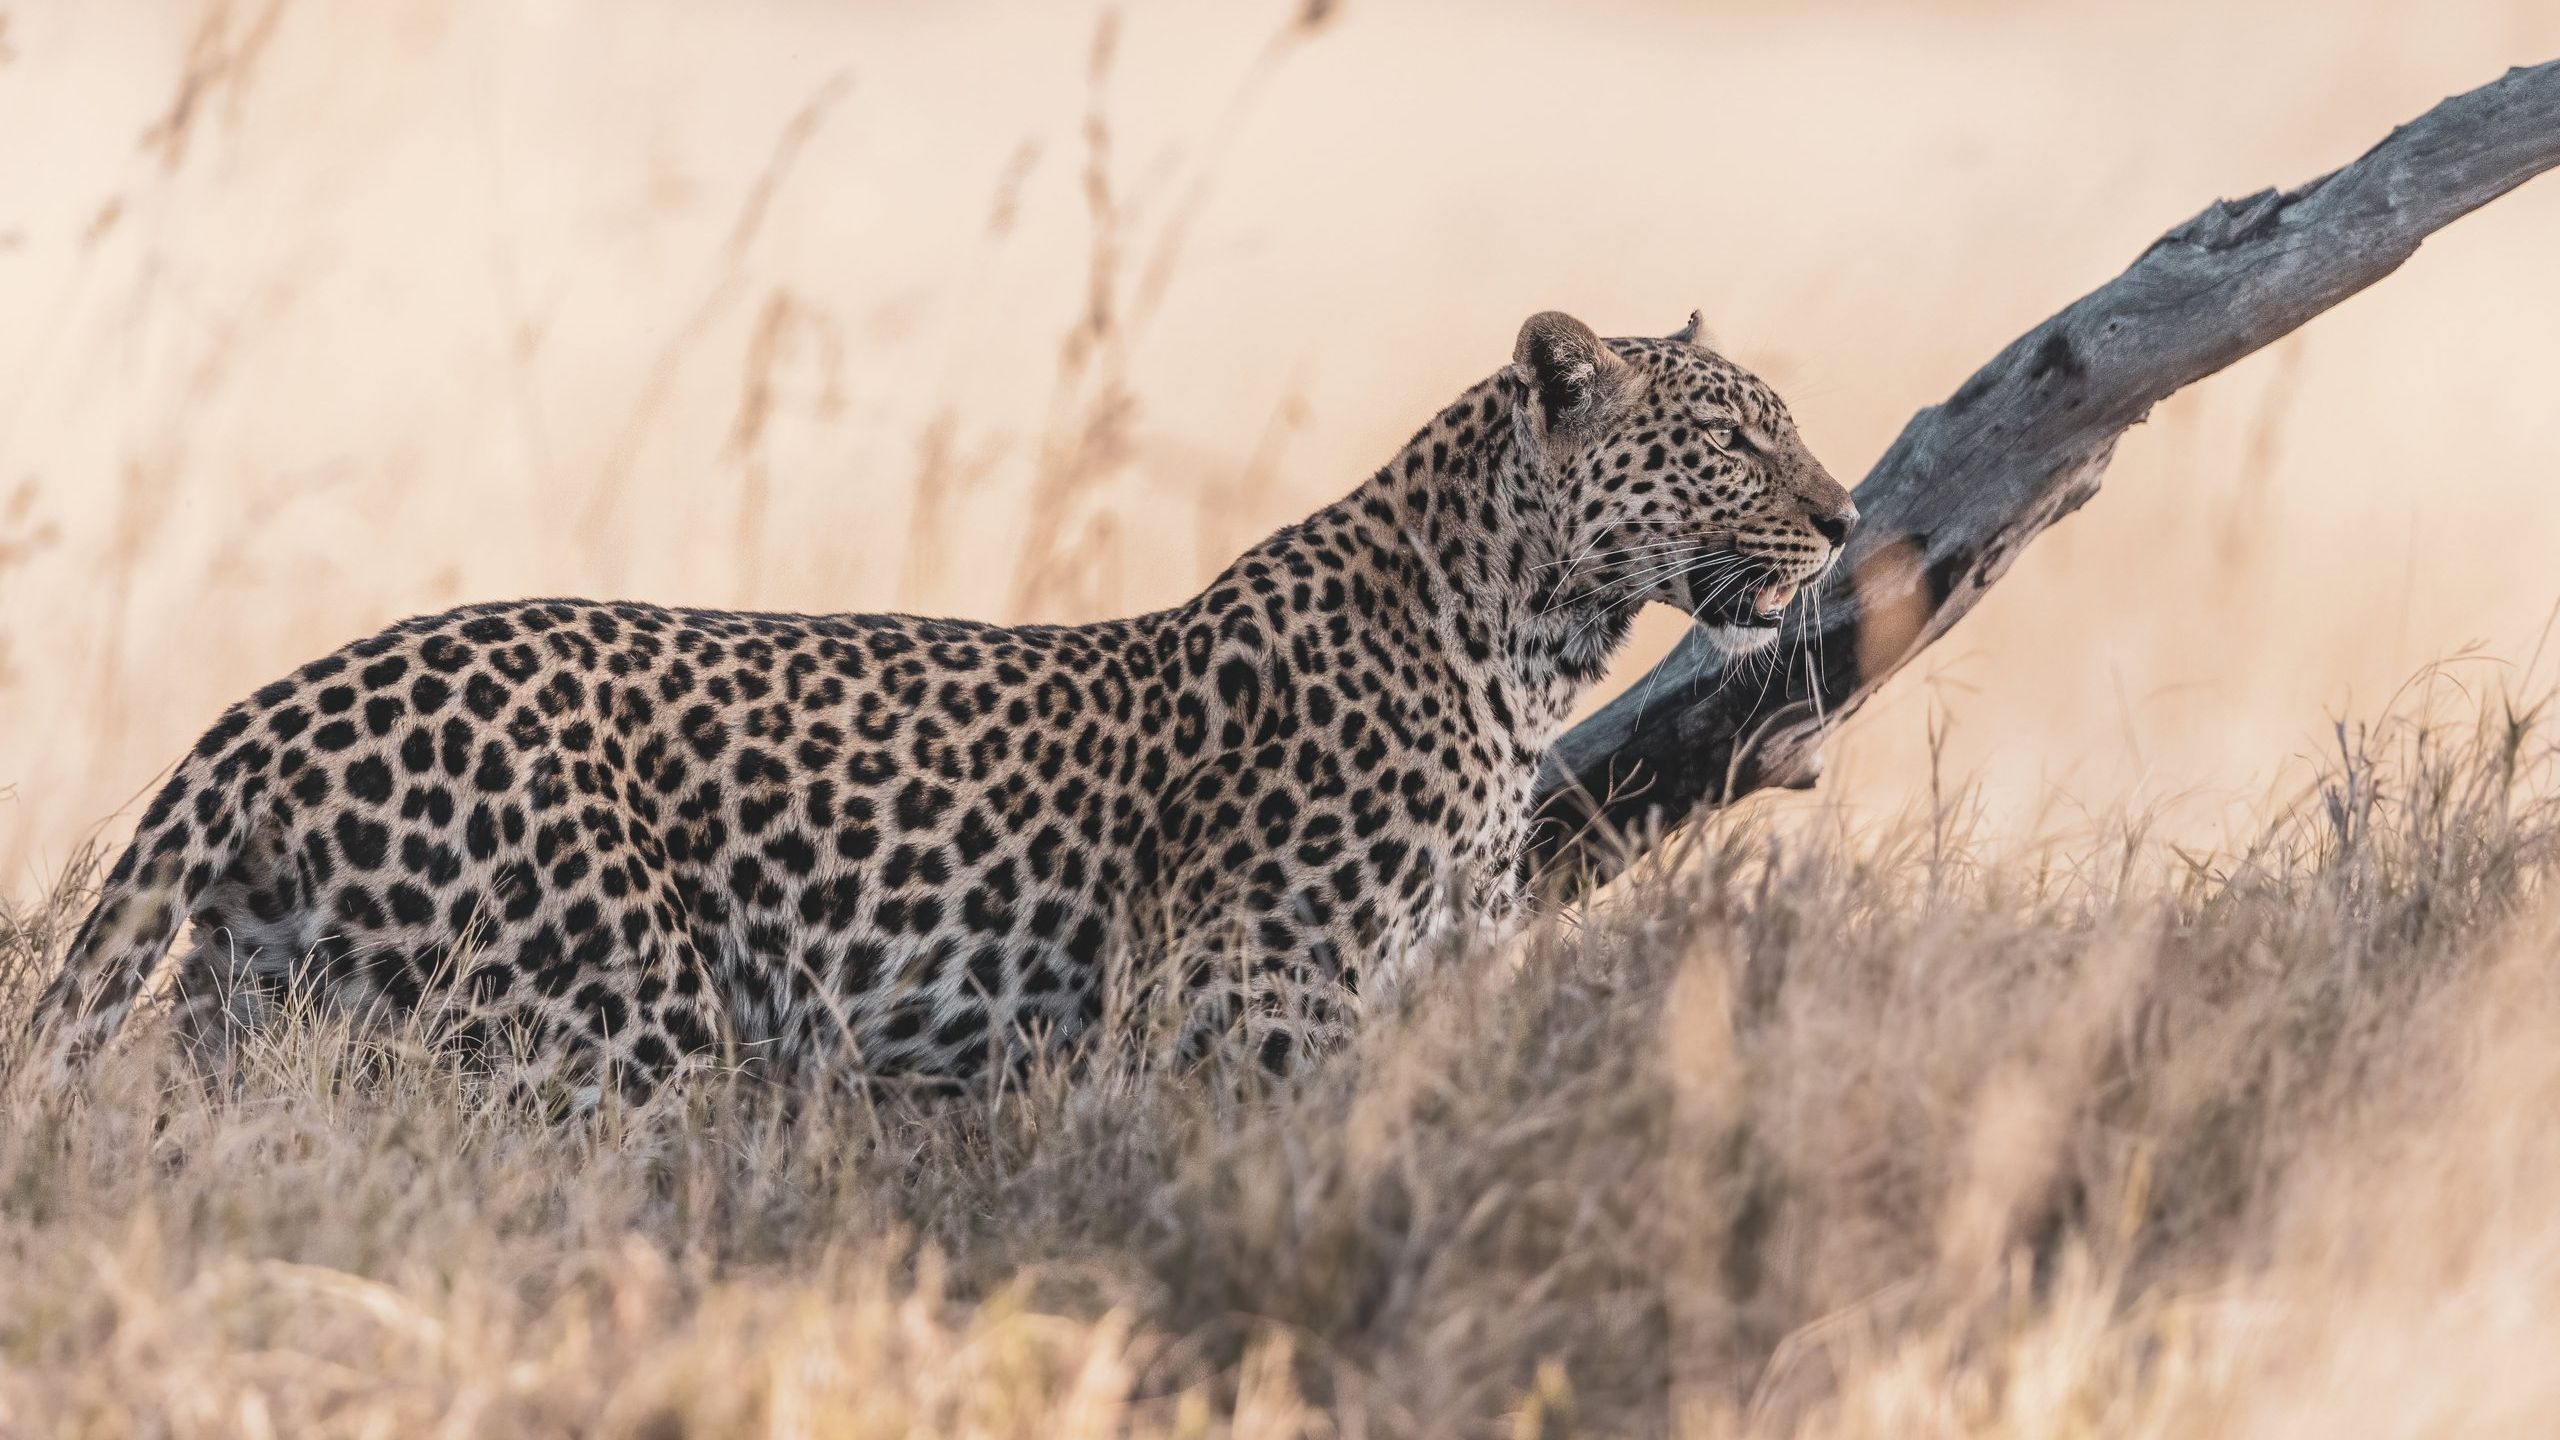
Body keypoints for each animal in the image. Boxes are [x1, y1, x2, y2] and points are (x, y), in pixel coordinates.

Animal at [23, 309, 1854, 1105]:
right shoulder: (1255, 1003)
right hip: (616, 1022)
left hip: (266, 1010)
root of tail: (273, 703)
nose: (1846, 521)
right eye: (1733, 438)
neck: (1524, 641)